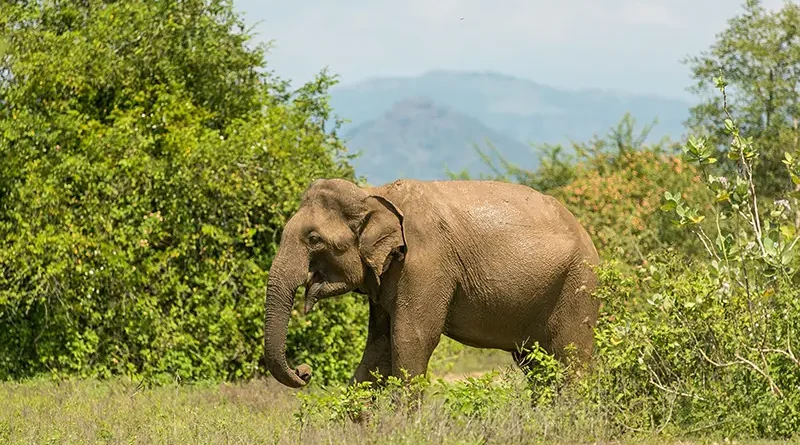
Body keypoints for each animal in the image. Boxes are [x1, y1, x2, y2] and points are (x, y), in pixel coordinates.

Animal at [263, 178, 600, 389]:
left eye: (314, 240)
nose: (304, 371)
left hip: (578, 285)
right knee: (536, 364)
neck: (372, 193)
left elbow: (411, 339)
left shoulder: (424, 263)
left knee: (571, 358)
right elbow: (378, 345)